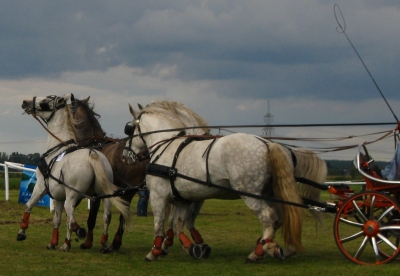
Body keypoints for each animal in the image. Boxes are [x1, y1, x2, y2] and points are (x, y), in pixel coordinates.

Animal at [19, 94, 130, 251]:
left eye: (46, 100)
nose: (25, 102)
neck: (57, 149)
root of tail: (92, 154)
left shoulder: (40, 187)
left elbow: (29, 205)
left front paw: (22, 232)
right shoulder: (59, 196)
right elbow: (56, 219)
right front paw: (53, 242)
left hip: (72, 194)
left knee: (71, 217)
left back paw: (67, 244)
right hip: (103, 194)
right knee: (106, 216)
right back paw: (103, 243)